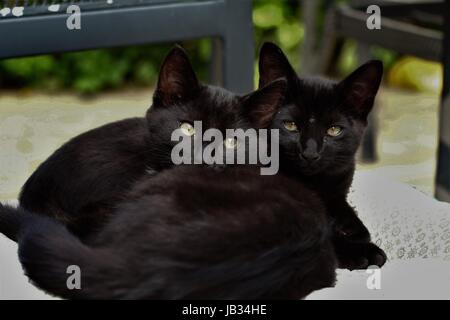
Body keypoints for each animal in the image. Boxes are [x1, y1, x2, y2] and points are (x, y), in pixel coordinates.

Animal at [258, 42, 388, 270]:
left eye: (334, 130)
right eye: (290, 125)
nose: (310, 153)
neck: (314, 185)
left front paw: (350, 227)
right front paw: (363, 250)